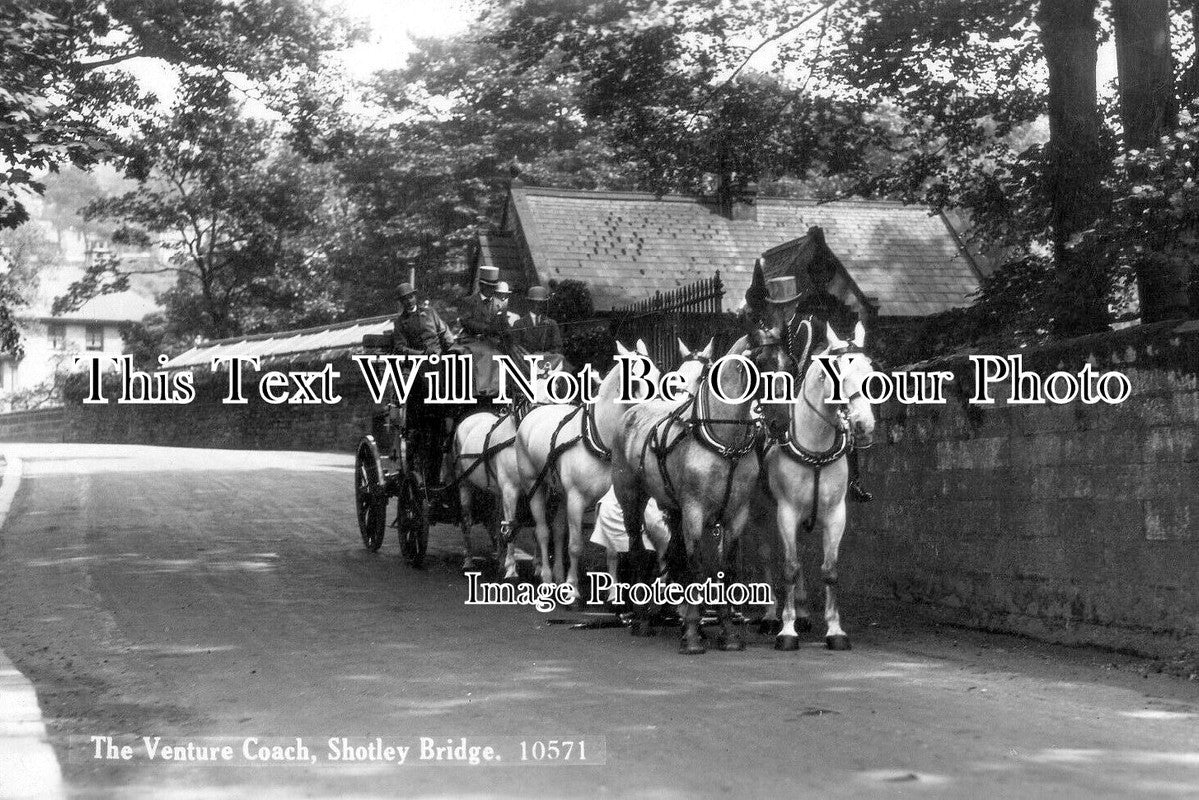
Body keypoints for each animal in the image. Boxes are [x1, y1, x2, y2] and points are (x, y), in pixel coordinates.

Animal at [517, 340, 666, 599]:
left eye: (658, 374)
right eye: (634, 379)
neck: (598, 439)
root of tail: (535, 411)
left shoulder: (609, 499)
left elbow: (613, 546)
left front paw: (614, 591)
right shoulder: (576, 498)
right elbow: (576, 545)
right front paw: (573, 588)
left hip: (560, 492)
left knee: (557, 531)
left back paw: (558, 575)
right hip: (534, 486)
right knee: (543, 531)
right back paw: (546, 577)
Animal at [757, 321, 882, 652]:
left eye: (870, 371)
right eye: (837, 373)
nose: (864, 425)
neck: (815, 446)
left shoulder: (835, 514)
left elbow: (829, 570)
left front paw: (835, 630)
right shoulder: (785, 512)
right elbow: (788, 566)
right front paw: (786, 631)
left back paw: (801, 612)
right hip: (760, 513)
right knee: (768, 555)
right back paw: (770, 615)